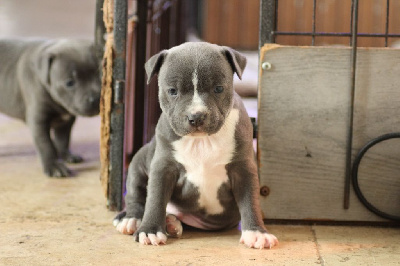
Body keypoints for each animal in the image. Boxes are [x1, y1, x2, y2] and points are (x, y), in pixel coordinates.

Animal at [0, 39, 100, 177]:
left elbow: (63, 140)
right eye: (70, 83)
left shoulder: (66, 122)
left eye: (100, 75)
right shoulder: (38, 122)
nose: (96, 99)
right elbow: (46, 145)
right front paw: (54, 166)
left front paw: (66, 156)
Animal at [113, 42, 278, 249]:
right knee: (135, 193)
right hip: (138, 162)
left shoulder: (243, 169)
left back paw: (171, 222)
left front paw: (256, 233)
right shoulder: (163, 167)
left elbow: (250, 201)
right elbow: (155, 199)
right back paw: (132, 219)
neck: (202, 141)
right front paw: (150, 230)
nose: (196, 116)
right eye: (172, 91)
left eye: (218, 88)